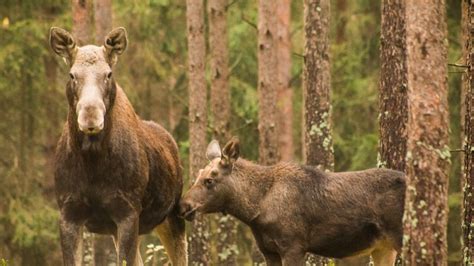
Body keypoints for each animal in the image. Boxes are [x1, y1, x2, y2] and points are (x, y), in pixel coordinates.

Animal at [50, 27, 186, 266]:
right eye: (72, 75)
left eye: (108, 74)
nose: (90, 115)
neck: (92, 160)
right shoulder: (69, 212)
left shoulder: (127, 212)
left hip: (173, 216)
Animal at [180, 138, 406, 264]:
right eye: (198, 174)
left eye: (210, 180)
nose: (183, 206)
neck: (254, 210)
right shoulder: (268, 251)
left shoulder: (293, 246)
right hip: (383, 247)